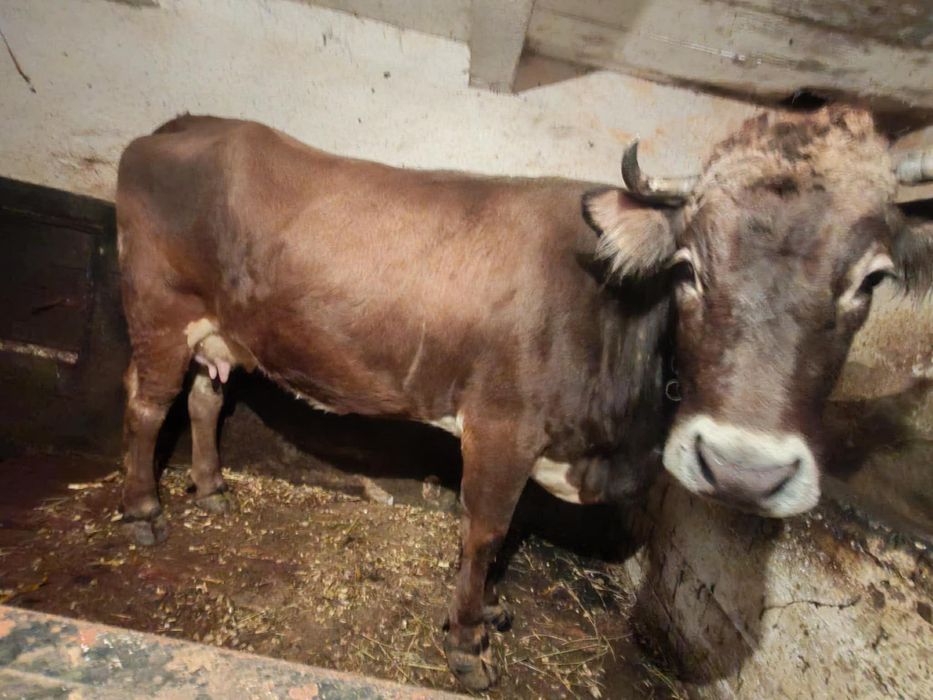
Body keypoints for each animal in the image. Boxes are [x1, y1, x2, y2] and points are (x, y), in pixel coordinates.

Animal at [115, 107, 932, 690]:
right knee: (147, 408)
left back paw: (212, 487)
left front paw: (490, 611)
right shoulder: (500, 427)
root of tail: (184, 125)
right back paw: (145, 511)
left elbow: (504, 540)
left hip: (220, 333)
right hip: (158, 309)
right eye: (688, 266)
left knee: (204, 401)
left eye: (871, 278)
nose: (743, 469)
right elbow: (486, 531)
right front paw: (467, 641)